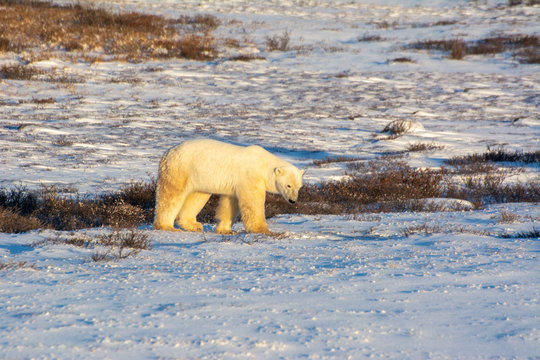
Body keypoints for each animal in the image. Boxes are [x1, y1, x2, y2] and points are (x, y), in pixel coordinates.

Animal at [153, 138, 304, 233]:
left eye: (298, 187)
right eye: (288, 185)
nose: (293, 200)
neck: (263, 165)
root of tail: (167, 152)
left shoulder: (236, 184)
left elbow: (229, 204)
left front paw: (226, 230)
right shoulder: (250, 176)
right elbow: (253, 203)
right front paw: (263, 230)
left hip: (199, 176)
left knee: (197, 197)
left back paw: (193, 225)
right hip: (180, 169)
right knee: (171, 196)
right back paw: (166, 226)